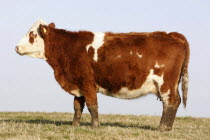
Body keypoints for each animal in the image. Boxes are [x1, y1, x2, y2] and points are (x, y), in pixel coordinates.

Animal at [15, 19, 189, 131]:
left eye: (32, 34)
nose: (16, 47)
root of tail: (172, 34)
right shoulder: (77, 83)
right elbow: (77, 106)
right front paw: (75, 125)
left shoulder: (87, 82)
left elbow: (92, 105)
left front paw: (95, 127)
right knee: (175, 102)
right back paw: (167, 128)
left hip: (166, 83)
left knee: (171, 102)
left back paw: (162, 128)